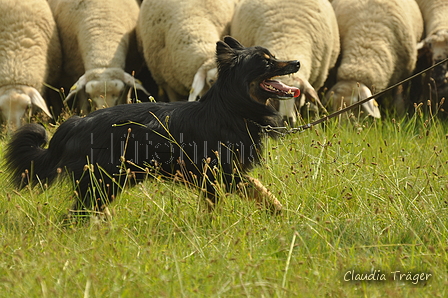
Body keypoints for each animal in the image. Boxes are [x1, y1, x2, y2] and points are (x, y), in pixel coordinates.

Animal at [4, 36, 300, 214]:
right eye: (267, 63)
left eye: (273, 56)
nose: (297, 62)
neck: (232, 108)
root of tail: (77, 122)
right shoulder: (222, 173)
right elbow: (257, 187)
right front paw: (279, 210)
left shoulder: (214, 179)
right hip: (102, 181)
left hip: (107, 184)